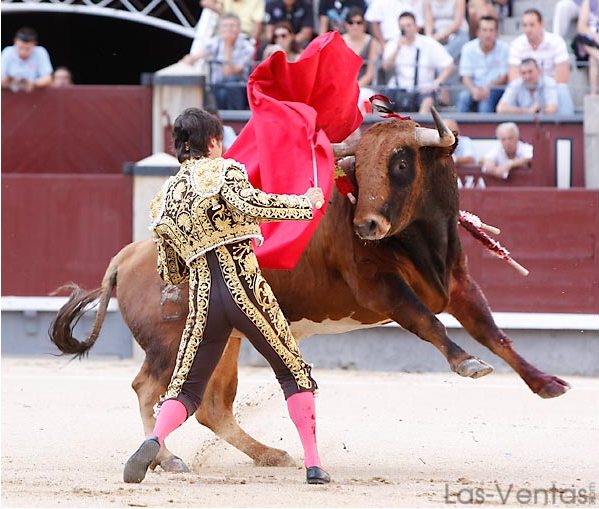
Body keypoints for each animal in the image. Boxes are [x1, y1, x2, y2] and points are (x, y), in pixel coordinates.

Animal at [49, 110, 568, 472]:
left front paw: (546, 383)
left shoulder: (459, 285)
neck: (424, 242)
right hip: (172, 344)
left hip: (225, 341)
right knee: (149, 388)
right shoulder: (380, 291)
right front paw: (467, 364)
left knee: (210, 406)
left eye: (401, 162)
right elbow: (428, 322)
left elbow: (494, 333)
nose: (366, 225)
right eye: (358, 166)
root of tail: (128, 255)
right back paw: (165, 458)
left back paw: (268, 455)